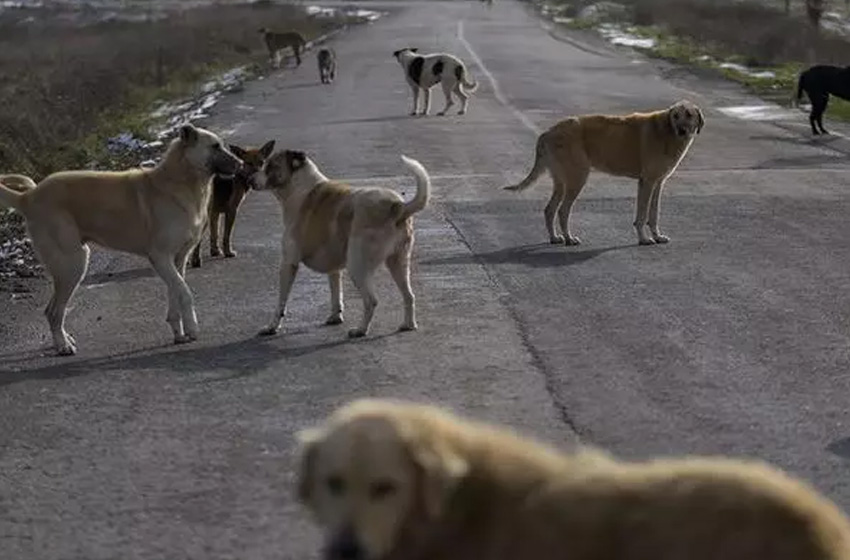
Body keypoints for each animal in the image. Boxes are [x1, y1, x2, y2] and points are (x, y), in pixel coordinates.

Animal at [0, 125, 242, 356]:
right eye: (215, 146)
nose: (240, 164)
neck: (180, 180)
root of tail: (28, 197)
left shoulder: (177, 260)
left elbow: (175, 293)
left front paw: (179, 333)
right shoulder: (160, 257)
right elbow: (185, 293)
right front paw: (192, 328)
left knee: (55, 311)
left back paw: (65, 340)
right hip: (72, 264)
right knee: (53, 311)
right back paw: (63, 346)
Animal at [248, 149, 428, 340]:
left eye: (270, 166)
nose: (249, 180)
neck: (299, 186)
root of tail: (397, 206)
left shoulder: (288, 263)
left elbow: (281, 302)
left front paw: (272, 327)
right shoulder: (333, 268)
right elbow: (335, 292)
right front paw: (336, 316)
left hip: (357, 266)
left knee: (371, 301)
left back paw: (361, 330)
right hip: (398, 263)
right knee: (409, 296)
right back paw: (408, 324)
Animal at [504, 99, 704, 247]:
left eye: (689, 115)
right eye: (675, 116)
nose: (681, 130)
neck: (666, 131)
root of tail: (548, 132)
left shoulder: (657, 183)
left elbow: (653, 214)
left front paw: (657, 236)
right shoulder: (647, 182)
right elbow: (642, 215)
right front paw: (644, 239)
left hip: (562, 181)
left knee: (549, 209)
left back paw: (555, 238)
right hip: (577, 178)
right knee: (562, 210)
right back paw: (569, 238)